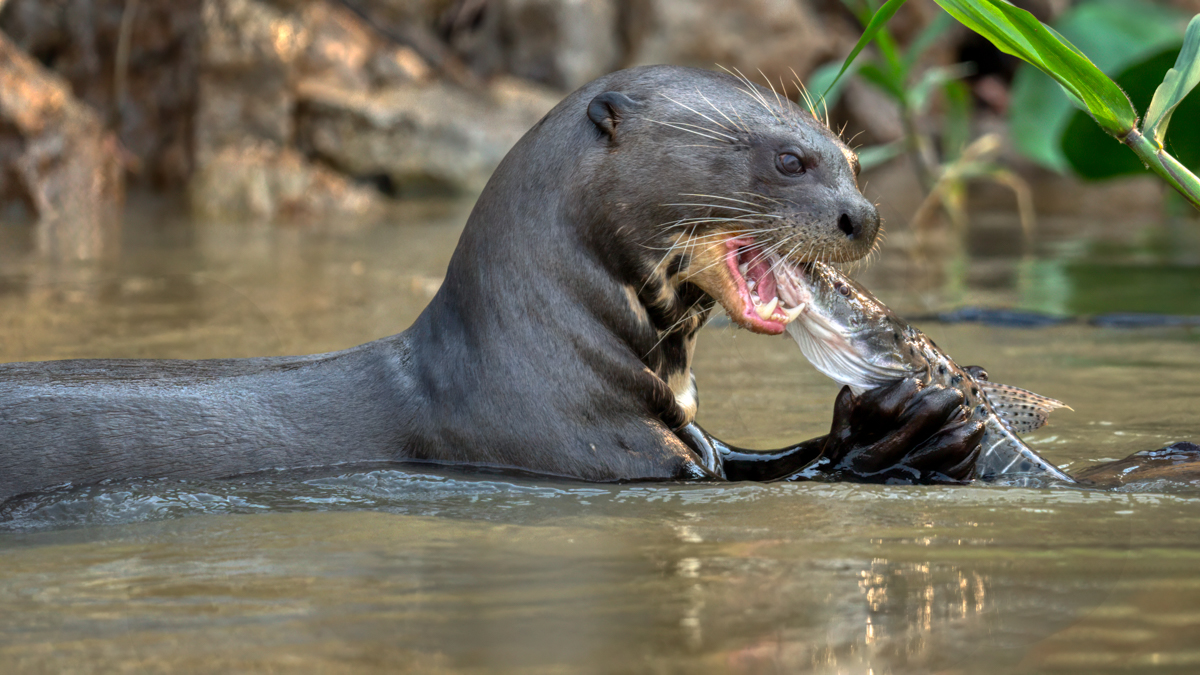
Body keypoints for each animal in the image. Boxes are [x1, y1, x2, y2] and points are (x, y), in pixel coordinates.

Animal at [0, 66, 982, 502]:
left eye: (852, 159)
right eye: (789, 160)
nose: (864, 215)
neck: (538, 359)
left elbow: (757, 456)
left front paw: (909, 420)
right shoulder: (597, 453)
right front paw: (906, 435)